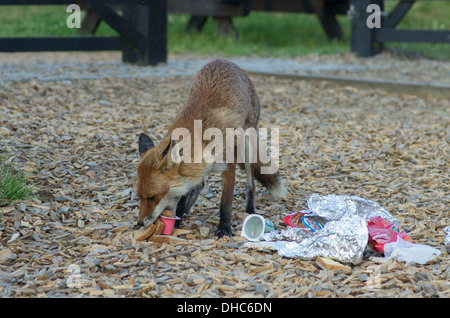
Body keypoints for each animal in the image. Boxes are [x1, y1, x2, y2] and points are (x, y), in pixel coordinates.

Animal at [135, 59, 286, 236]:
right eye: (140, 197)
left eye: (152, 197)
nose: (139, 223)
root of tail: (225, 60)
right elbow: (184, 195)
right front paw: (179, 218)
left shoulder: (228, 166)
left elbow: (225, 202)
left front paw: (224, 228)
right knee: (199, 185)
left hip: (247, 144)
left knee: (251, 184)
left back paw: (250, 210)